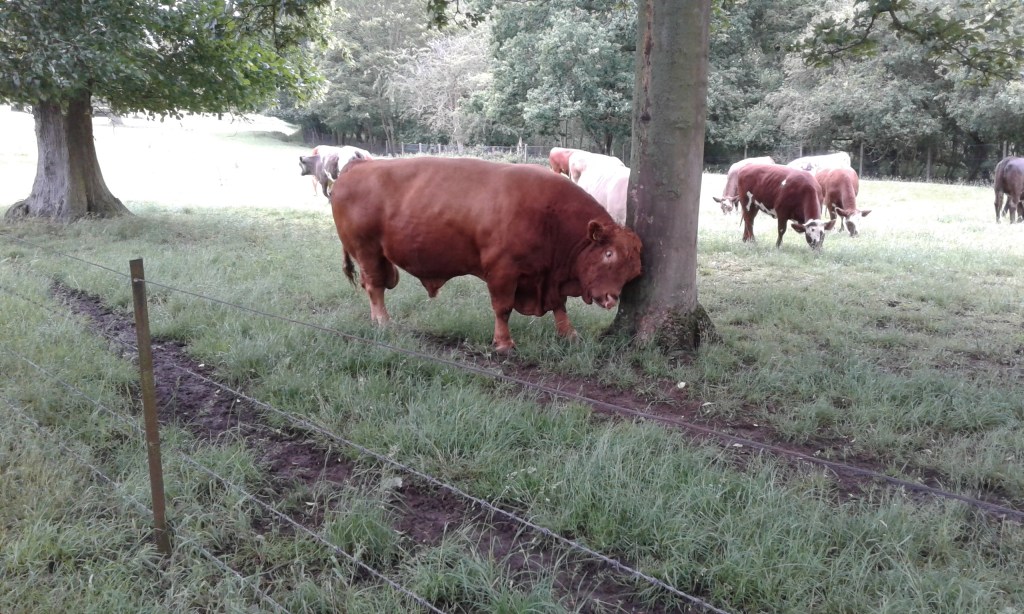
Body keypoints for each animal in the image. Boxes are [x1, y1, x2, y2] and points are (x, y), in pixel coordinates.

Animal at [329, 157, 643, 352]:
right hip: (367, 251)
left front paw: (569, 334)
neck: (550, 216)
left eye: (635, 270)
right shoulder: (503, 272)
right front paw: (504, 343)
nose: (611, 298)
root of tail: (358, 166)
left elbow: (559, 306)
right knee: (374, 286)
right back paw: (383, 322)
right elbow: (502, 308)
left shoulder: (548, 277)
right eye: (609, 254)